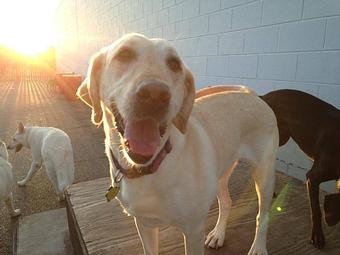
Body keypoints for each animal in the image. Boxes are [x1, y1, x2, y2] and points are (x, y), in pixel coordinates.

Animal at [77, 33, 278, 255]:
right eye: (124, 54)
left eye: (174, 64)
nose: (155, 94)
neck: (149, 170)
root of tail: (252, 94)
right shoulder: (144, 224)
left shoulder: (193, 230)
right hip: (220, 173)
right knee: (226, 202)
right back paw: (218, 234)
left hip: (264, 175)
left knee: (263, 214)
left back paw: (258, 246)